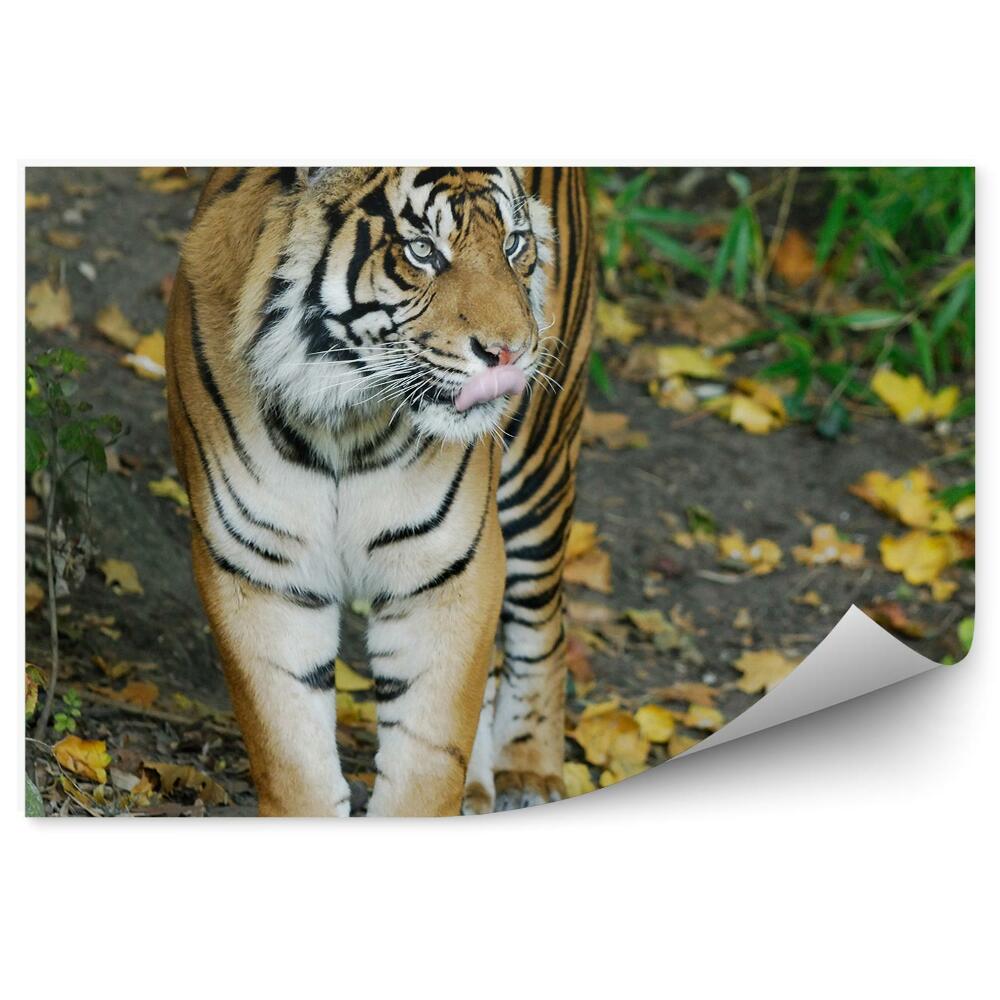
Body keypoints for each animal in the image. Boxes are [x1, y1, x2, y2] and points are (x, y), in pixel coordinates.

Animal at [165, 167, 593, 816]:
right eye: (422, 251)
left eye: (514, 244)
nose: (512, 352)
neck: (343, 421)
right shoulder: (260, 572)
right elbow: (292, 758)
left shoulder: (446, 570)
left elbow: (426, 760)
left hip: (539, 461)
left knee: (543, 617)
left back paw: (528, 773)